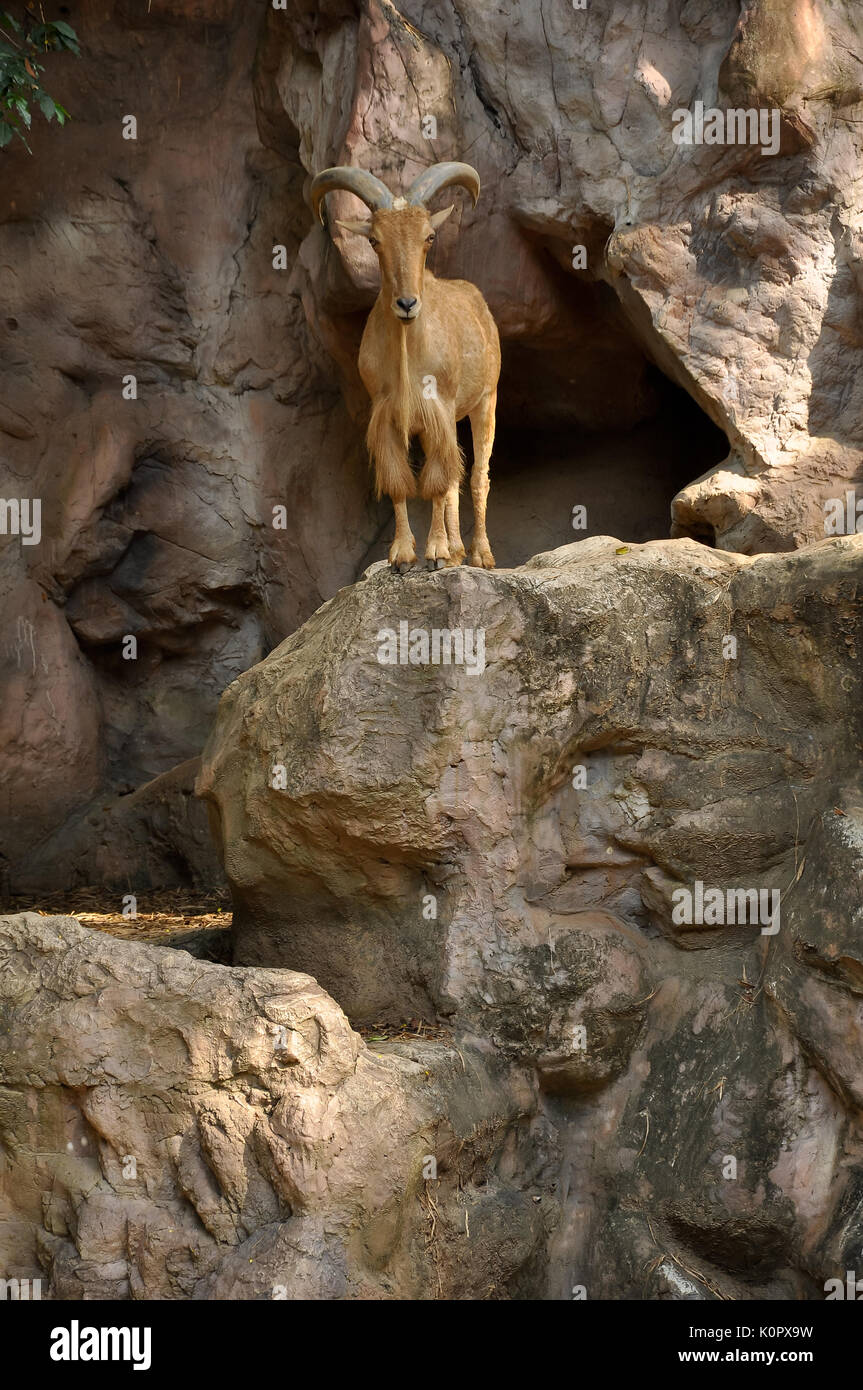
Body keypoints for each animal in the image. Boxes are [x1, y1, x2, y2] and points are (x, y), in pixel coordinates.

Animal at [308, 161, 497, 569]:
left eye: (429, 237)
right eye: (375, 240)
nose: (407, 303)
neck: (409, 350)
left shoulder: (438, 408)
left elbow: (437, 482)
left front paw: (436, 551)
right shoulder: (388, 414)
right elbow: (400, 481)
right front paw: (404, 555)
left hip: (485, 401)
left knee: (477, 476)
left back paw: (479, 554)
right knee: (456, 478)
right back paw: (458, 551)